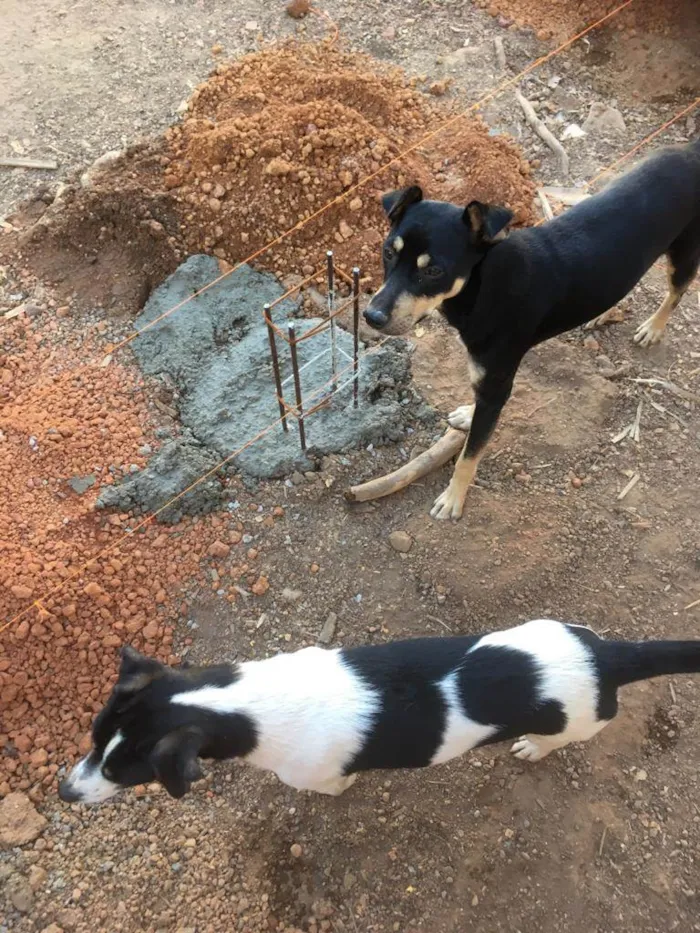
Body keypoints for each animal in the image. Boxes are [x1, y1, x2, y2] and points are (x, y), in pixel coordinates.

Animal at [58, 620, 700, 800]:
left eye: (122, 771)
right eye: (92, 738)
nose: (64, 794)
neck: (243, 702)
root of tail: (608, 656)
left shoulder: (312, 775)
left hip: (579, 722)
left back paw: (534, 747)